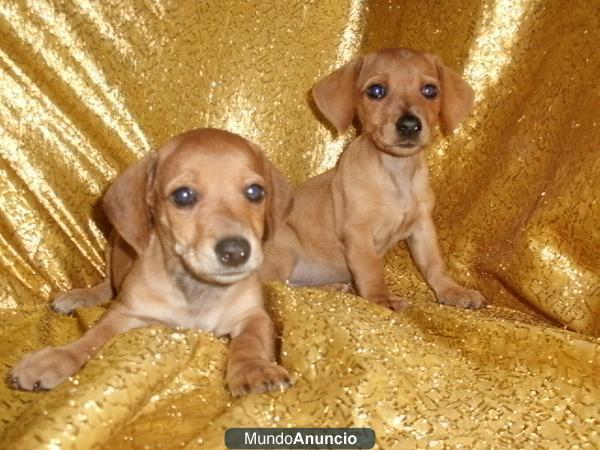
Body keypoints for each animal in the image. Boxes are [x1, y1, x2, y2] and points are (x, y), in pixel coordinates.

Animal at [8, 128, 292, 396]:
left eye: (255, 192)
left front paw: (253, 368)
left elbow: (249, 342)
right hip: (113, 246)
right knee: (107, 286)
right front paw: (55, 358)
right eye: (183, 196)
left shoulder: (253, 315)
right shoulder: (124, 313)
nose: (235, 252)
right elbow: (90, 339)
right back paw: (80, 296)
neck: (196, 290)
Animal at [262, 47, 488, 312]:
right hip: (283, 251)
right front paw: (381, 298)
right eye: (376, 91)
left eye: (430, 90)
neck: (396, 172)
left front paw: (452, 291)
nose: (409, 125)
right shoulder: (358, 230)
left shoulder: (422, 227)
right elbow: (371, 269)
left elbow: (434, 265)